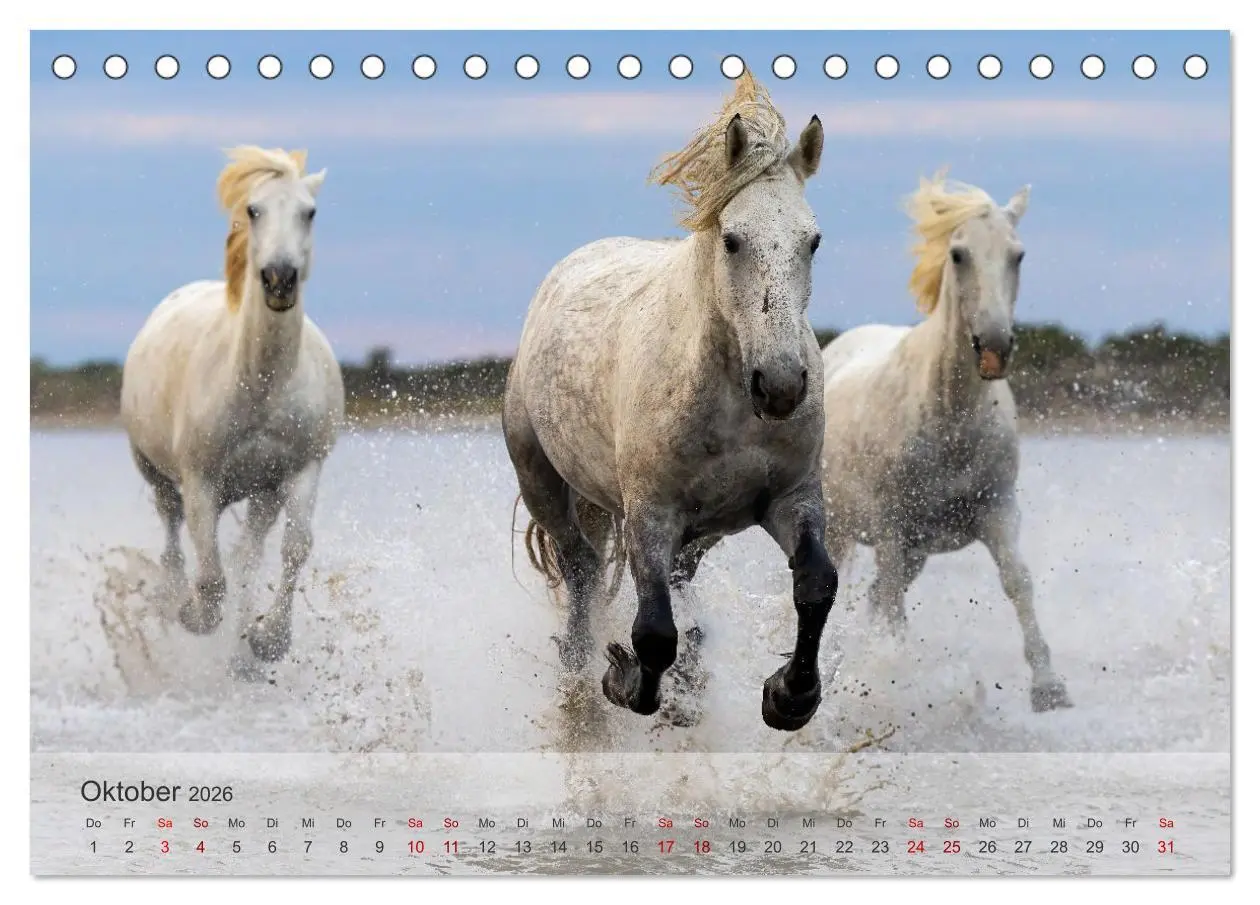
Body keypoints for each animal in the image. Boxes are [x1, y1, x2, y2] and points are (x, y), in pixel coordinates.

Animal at [119, 146, 345, 663]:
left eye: (310, 212)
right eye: (254, 210)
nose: (279, 279)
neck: (260, 387)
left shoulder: (301, 469)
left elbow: (294, 548)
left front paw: (267, 641)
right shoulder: (200, 478)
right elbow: (209, 569)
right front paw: (195, 615)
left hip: (261, 492)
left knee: (248, 555)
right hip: (155, 471)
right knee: (174, 535)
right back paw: (174, 597)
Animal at [503, 73, 838, 732]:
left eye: (812, 241)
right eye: (733, 240)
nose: (781, 386)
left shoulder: (790, 498)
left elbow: (816, 585)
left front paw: (790, 697)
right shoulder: (649, 514)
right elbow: (654, 631)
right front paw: (622, 678)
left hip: (702, 528)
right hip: (543, 481)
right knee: (582, 570)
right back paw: (580, 667)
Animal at [818, 171, 1071, 712]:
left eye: (1018, 254)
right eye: (958, 254)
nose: (995, 345)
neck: (948, 419)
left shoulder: (998, 510)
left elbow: (1018, 581)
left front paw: (1049, 687)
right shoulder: (891, 528)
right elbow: (893, 609)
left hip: (917, 550)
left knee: (874, 597)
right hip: (844, 530)